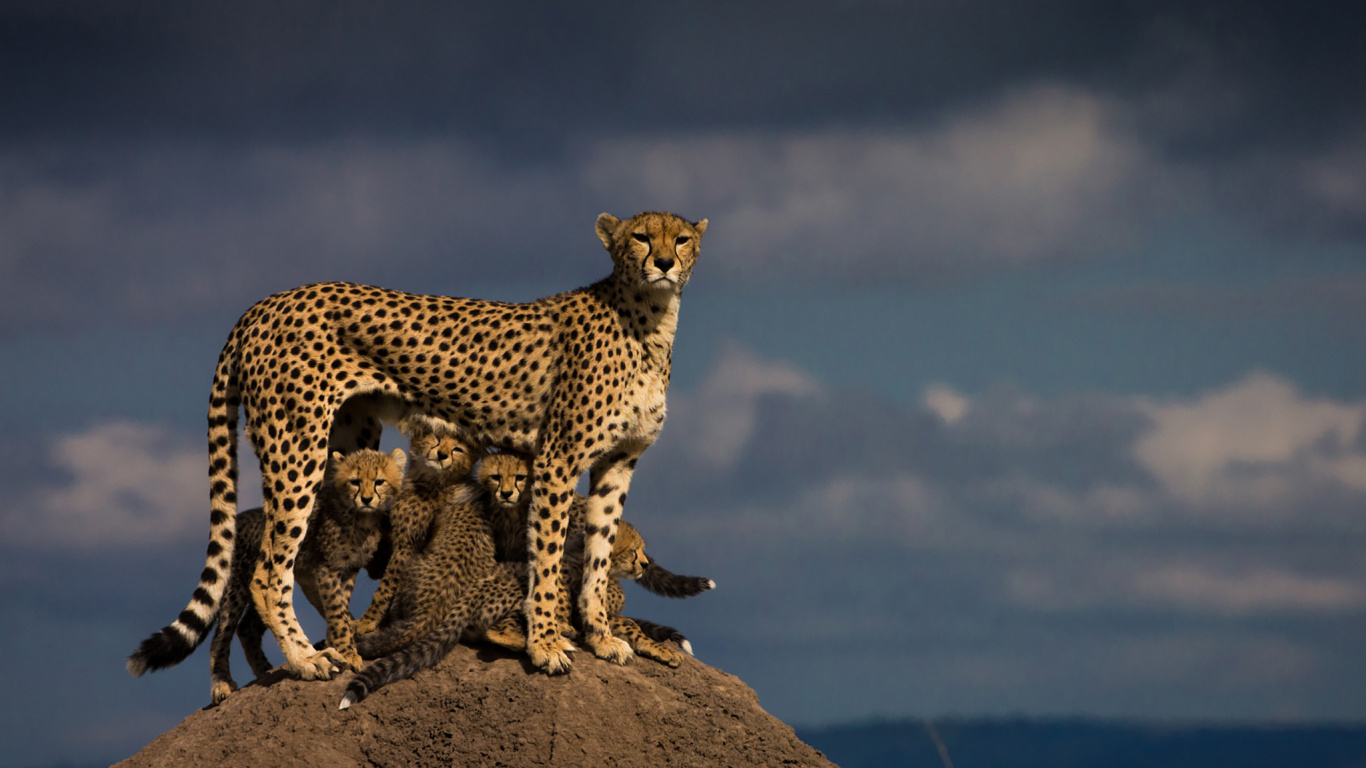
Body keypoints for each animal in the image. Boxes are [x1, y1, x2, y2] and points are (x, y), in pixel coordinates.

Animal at [145, 209, 710, 675]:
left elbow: (598, 551)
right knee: (269, 569)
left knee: (318, 560)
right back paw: (307, 659)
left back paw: (346, 642)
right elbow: (548, 558)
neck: (651, 320)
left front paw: (601, 636)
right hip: (296, 446)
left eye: (681, 239)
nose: (663, 262)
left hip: (347, 442)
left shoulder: (617, 462)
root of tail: (263, 304)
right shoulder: (557, 459)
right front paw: (547, 644)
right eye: (640, 237)